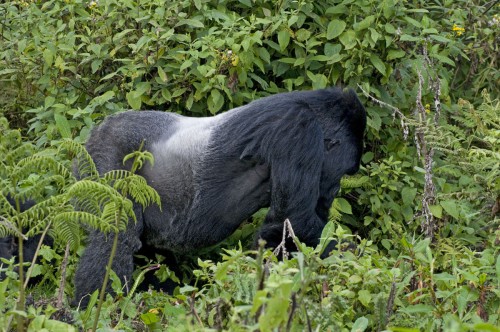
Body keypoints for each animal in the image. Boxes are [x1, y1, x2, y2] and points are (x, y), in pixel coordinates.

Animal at [72, 87, 366, 304]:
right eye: (344, 171)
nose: (334, 191)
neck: (312, 110)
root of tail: (95, 131)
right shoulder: (297, 128)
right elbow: (294, 222)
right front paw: (353, 256)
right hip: (106, 156)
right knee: (116, 237)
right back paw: (94, 308)